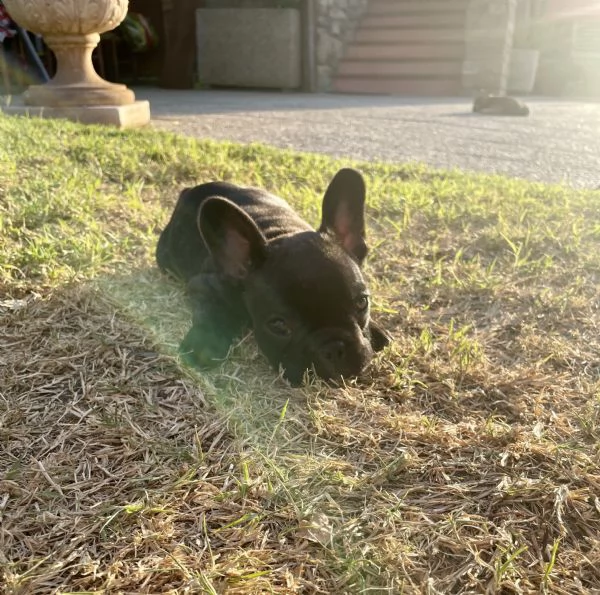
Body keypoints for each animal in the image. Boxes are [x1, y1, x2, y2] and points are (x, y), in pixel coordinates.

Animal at [155, 169, 392, 382]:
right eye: (278, 325)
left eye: (362, 302)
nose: (333, 349)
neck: (280, 232)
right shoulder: (203, 285)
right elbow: (211, 312)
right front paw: (203, 345)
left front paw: (376, 329)